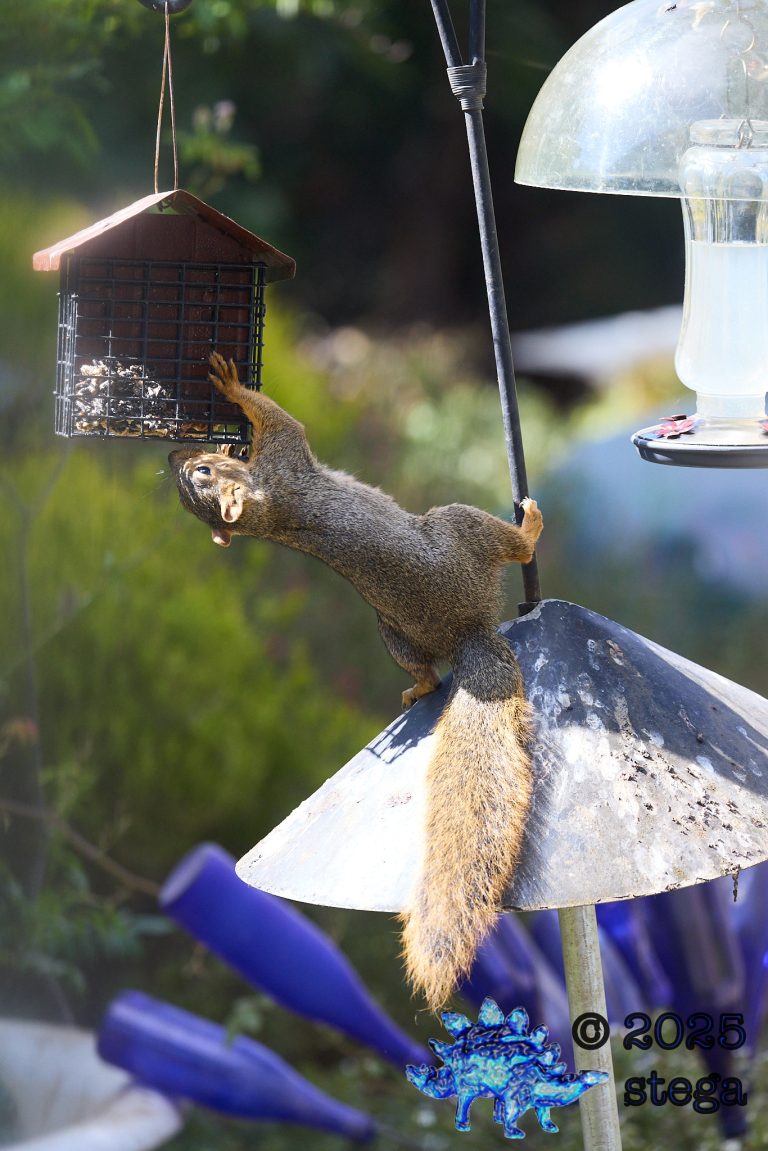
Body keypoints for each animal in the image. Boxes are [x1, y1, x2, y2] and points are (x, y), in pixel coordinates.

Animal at [169, 352, 543, 1011]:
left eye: (203, 473)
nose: (173, 459)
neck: (266, 508)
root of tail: (468, 631)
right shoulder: (288, 457)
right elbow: (279, 420)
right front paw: (235, 387)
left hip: (390, 633)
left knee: (423, 669)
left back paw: (420, 687)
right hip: (457, 528)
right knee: (511, 545)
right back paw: (530, 525)